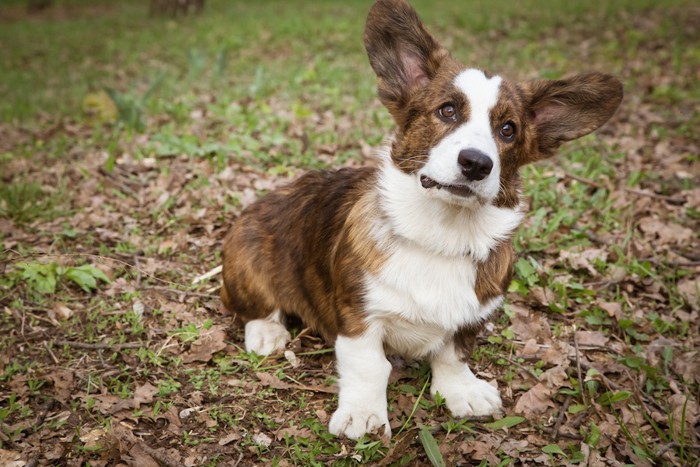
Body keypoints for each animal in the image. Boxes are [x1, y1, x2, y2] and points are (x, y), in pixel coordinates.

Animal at [220, 0, 624, 442]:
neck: (441, 236)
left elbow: (453, 355)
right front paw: (363, 415)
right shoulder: (359, 318)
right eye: (447, 110)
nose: (476, 163)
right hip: (247, 258)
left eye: (508, 130)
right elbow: (368, 366)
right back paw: (267, 332)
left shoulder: (471, 318)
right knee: (256, 308)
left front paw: (462, 392)